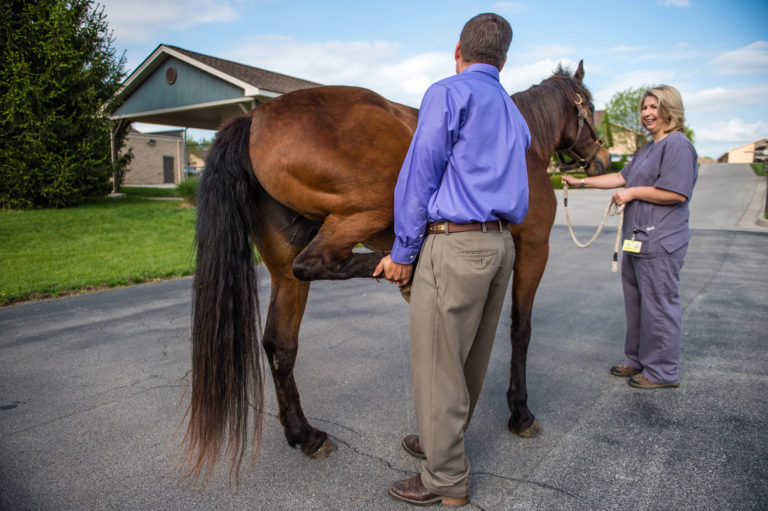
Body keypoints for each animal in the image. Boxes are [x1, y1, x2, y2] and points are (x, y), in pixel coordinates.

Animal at [183, 60, 608, 480]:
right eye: (588, 104)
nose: (602, 159)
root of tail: (254, 117)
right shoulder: (534, 247)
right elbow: (521, 330)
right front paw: (520, 412)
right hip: (373, 203)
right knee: (315, 262)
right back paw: (405, 268)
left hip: (285, 268)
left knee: (280, 344)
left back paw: (305, 434)